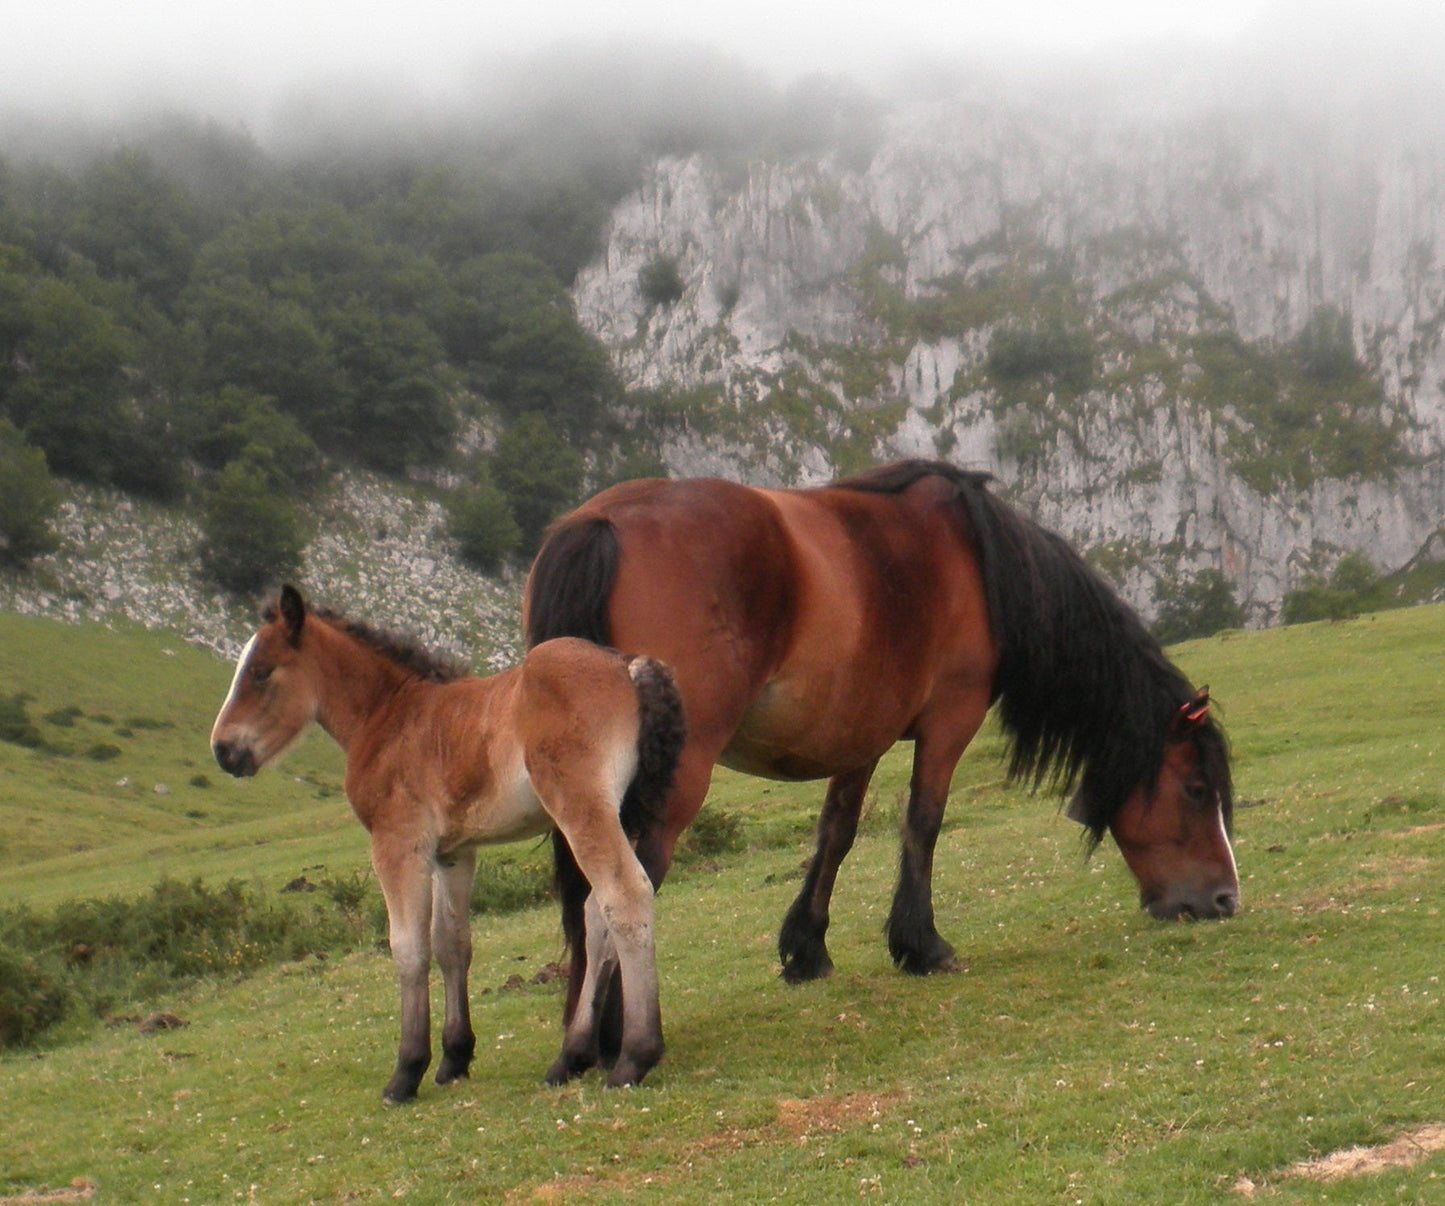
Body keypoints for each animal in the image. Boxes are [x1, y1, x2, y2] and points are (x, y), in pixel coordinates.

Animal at [209, 583, 687, 1103]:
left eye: (260, 672)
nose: (223, 750)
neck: (389, 716)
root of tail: (628, 665)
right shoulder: (452, 853)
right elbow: (451, 942)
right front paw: (455, 1056)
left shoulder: (398, 845)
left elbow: (409, 947)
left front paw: (406, 1071)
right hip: (624, 813)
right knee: (598, 913)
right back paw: (571, 1056)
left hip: (582, 809)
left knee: (625, 896)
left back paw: (634, 1057)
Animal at [525, 456, 1236, 1016]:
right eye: (1197, 790)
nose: (1225, 899)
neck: (977, 560)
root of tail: (603, 524)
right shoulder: (949, 721)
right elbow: (923, 822)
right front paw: (921, 945)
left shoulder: (858, 737)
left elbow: (836, 833)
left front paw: (807, 950)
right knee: (627, 881)